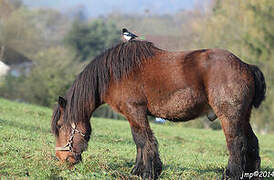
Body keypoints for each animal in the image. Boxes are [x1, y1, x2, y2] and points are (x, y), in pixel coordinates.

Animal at [50, 40, 266, 179]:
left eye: (59, 126)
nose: (62, 158)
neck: (114, 74)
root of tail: (246, 66)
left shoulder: (135, 111)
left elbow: (143, 139)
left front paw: (149, 172)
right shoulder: (134, 115)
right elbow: (139, 141)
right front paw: (138, 170)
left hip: (229, 116)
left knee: (235, 143)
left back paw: (231, 174)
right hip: (243, 117)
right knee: (252, 142)